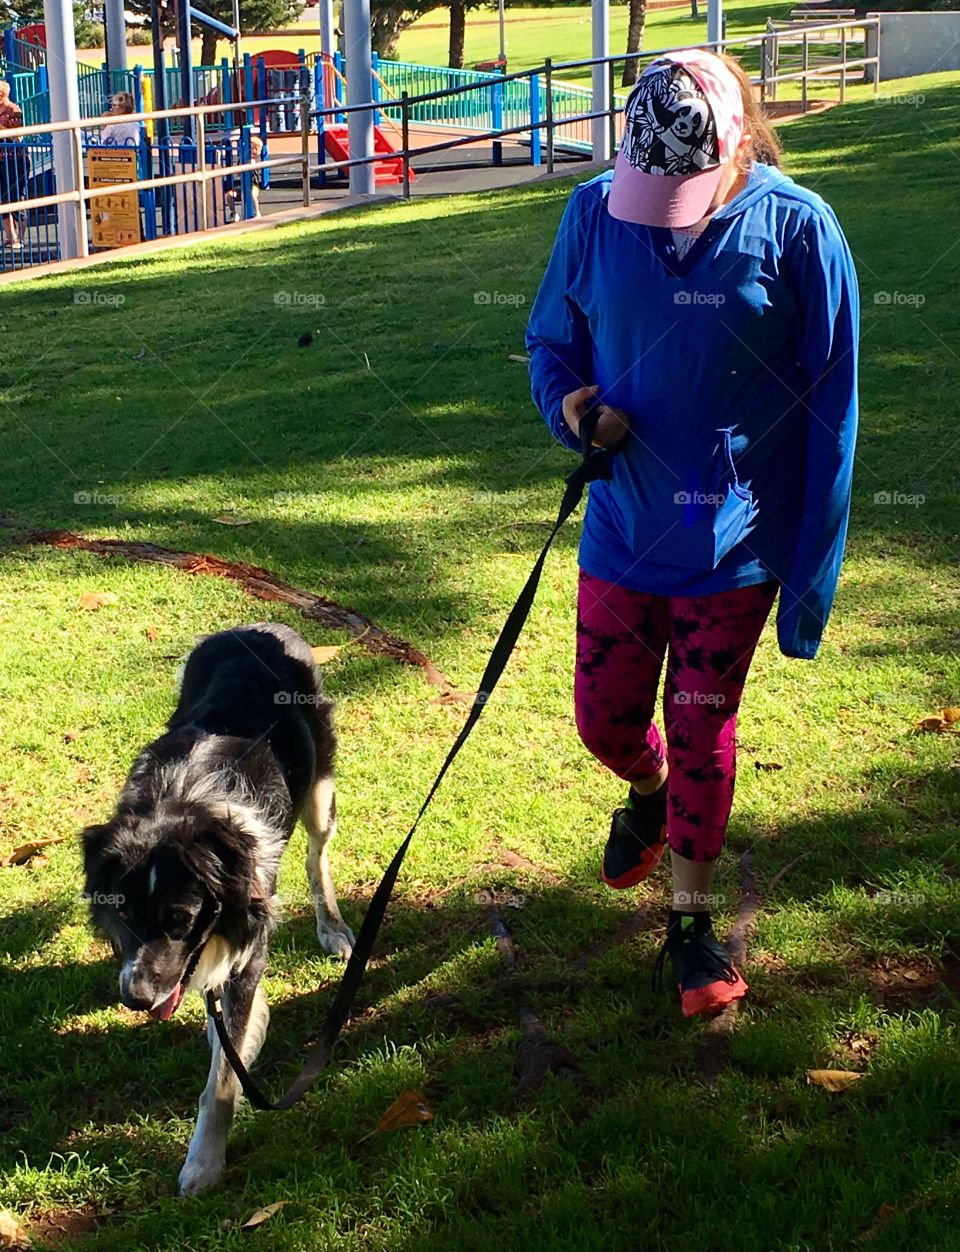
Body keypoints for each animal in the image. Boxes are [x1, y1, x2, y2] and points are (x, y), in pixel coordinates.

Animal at [80, 626, 355, 1191]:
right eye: (124, 916)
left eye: (181, 919)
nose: (136, 1000)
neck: (180, 806)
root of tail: (260, 627)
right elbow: (219, 1020)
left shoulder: (247, 939)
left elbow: (221, 1080)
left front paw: (204, 1161)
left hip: (321, 791)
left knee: (317, 856)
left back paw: (333, 927)